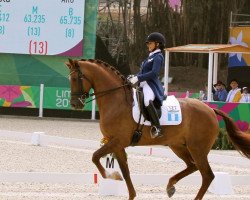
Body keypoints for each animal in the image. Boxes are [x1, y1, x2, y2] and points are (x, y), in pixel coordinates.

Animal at [66, 59, 250, 200]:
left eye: (76, 78)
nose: (75, 104)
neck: (116, 101)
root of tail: (210, 109)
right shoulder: (117, 144)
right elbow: (126, 172)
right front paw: (128, 191)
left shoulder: (117, 141)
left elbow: (95, 156)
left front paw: (113, 176)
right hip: (178, 146)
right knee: (193, 167)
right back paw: (170, 186)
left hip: (198, 148)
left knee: (207, 175)